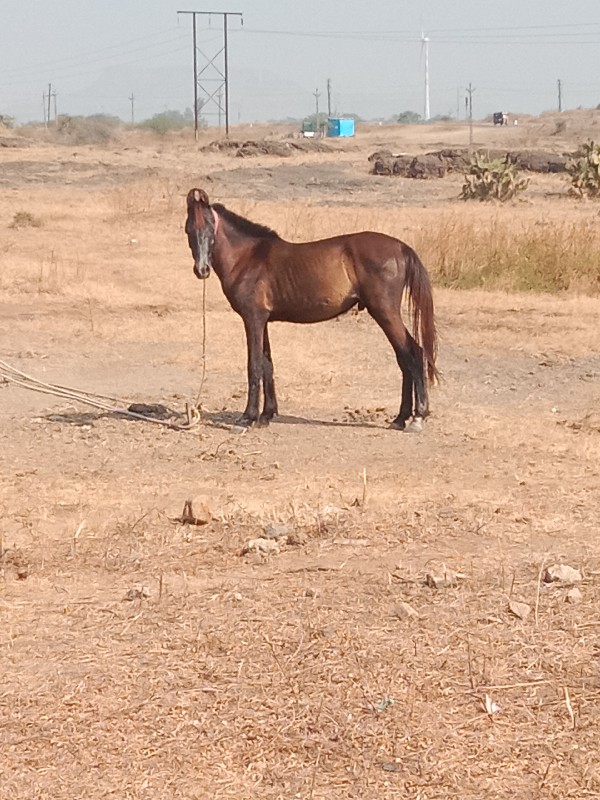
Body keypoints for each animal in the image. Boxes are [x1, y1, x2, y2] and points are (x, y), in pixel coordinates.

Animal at [185, 189, 438, 432]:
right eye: (189, 229)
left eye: (210, 226)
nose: (202, 270)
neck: (247, 257)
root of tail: (401, 247)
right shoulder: (263, 320)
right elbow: (267, 364)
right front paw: (266, 415)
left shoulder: (253, 319)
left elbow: (254, 365)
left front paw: (247, 418)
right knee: (406, 357)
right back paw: (401, 418)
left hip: (385, 312)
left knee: (413, 355)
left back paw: (417, 418)